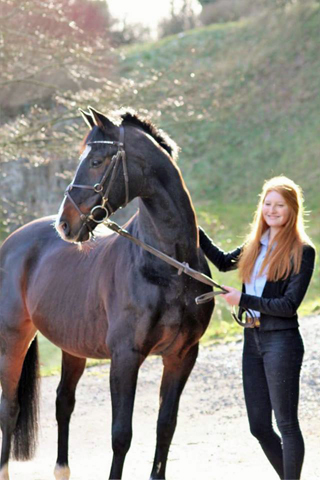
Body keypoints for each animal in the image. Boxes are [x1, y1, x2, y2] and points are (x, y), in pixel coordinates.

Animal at [0, 107, 215, 478]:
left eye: (97, 161)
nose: (65, 224)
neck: (169, 265)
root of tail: (12, 242)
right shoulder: (125, 357)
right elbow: (121, 435)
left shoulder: (182, 355)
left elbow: (165, 427)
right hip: (13, 340)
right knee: (9, 408)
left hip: (72, 345)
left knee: (63, 402)